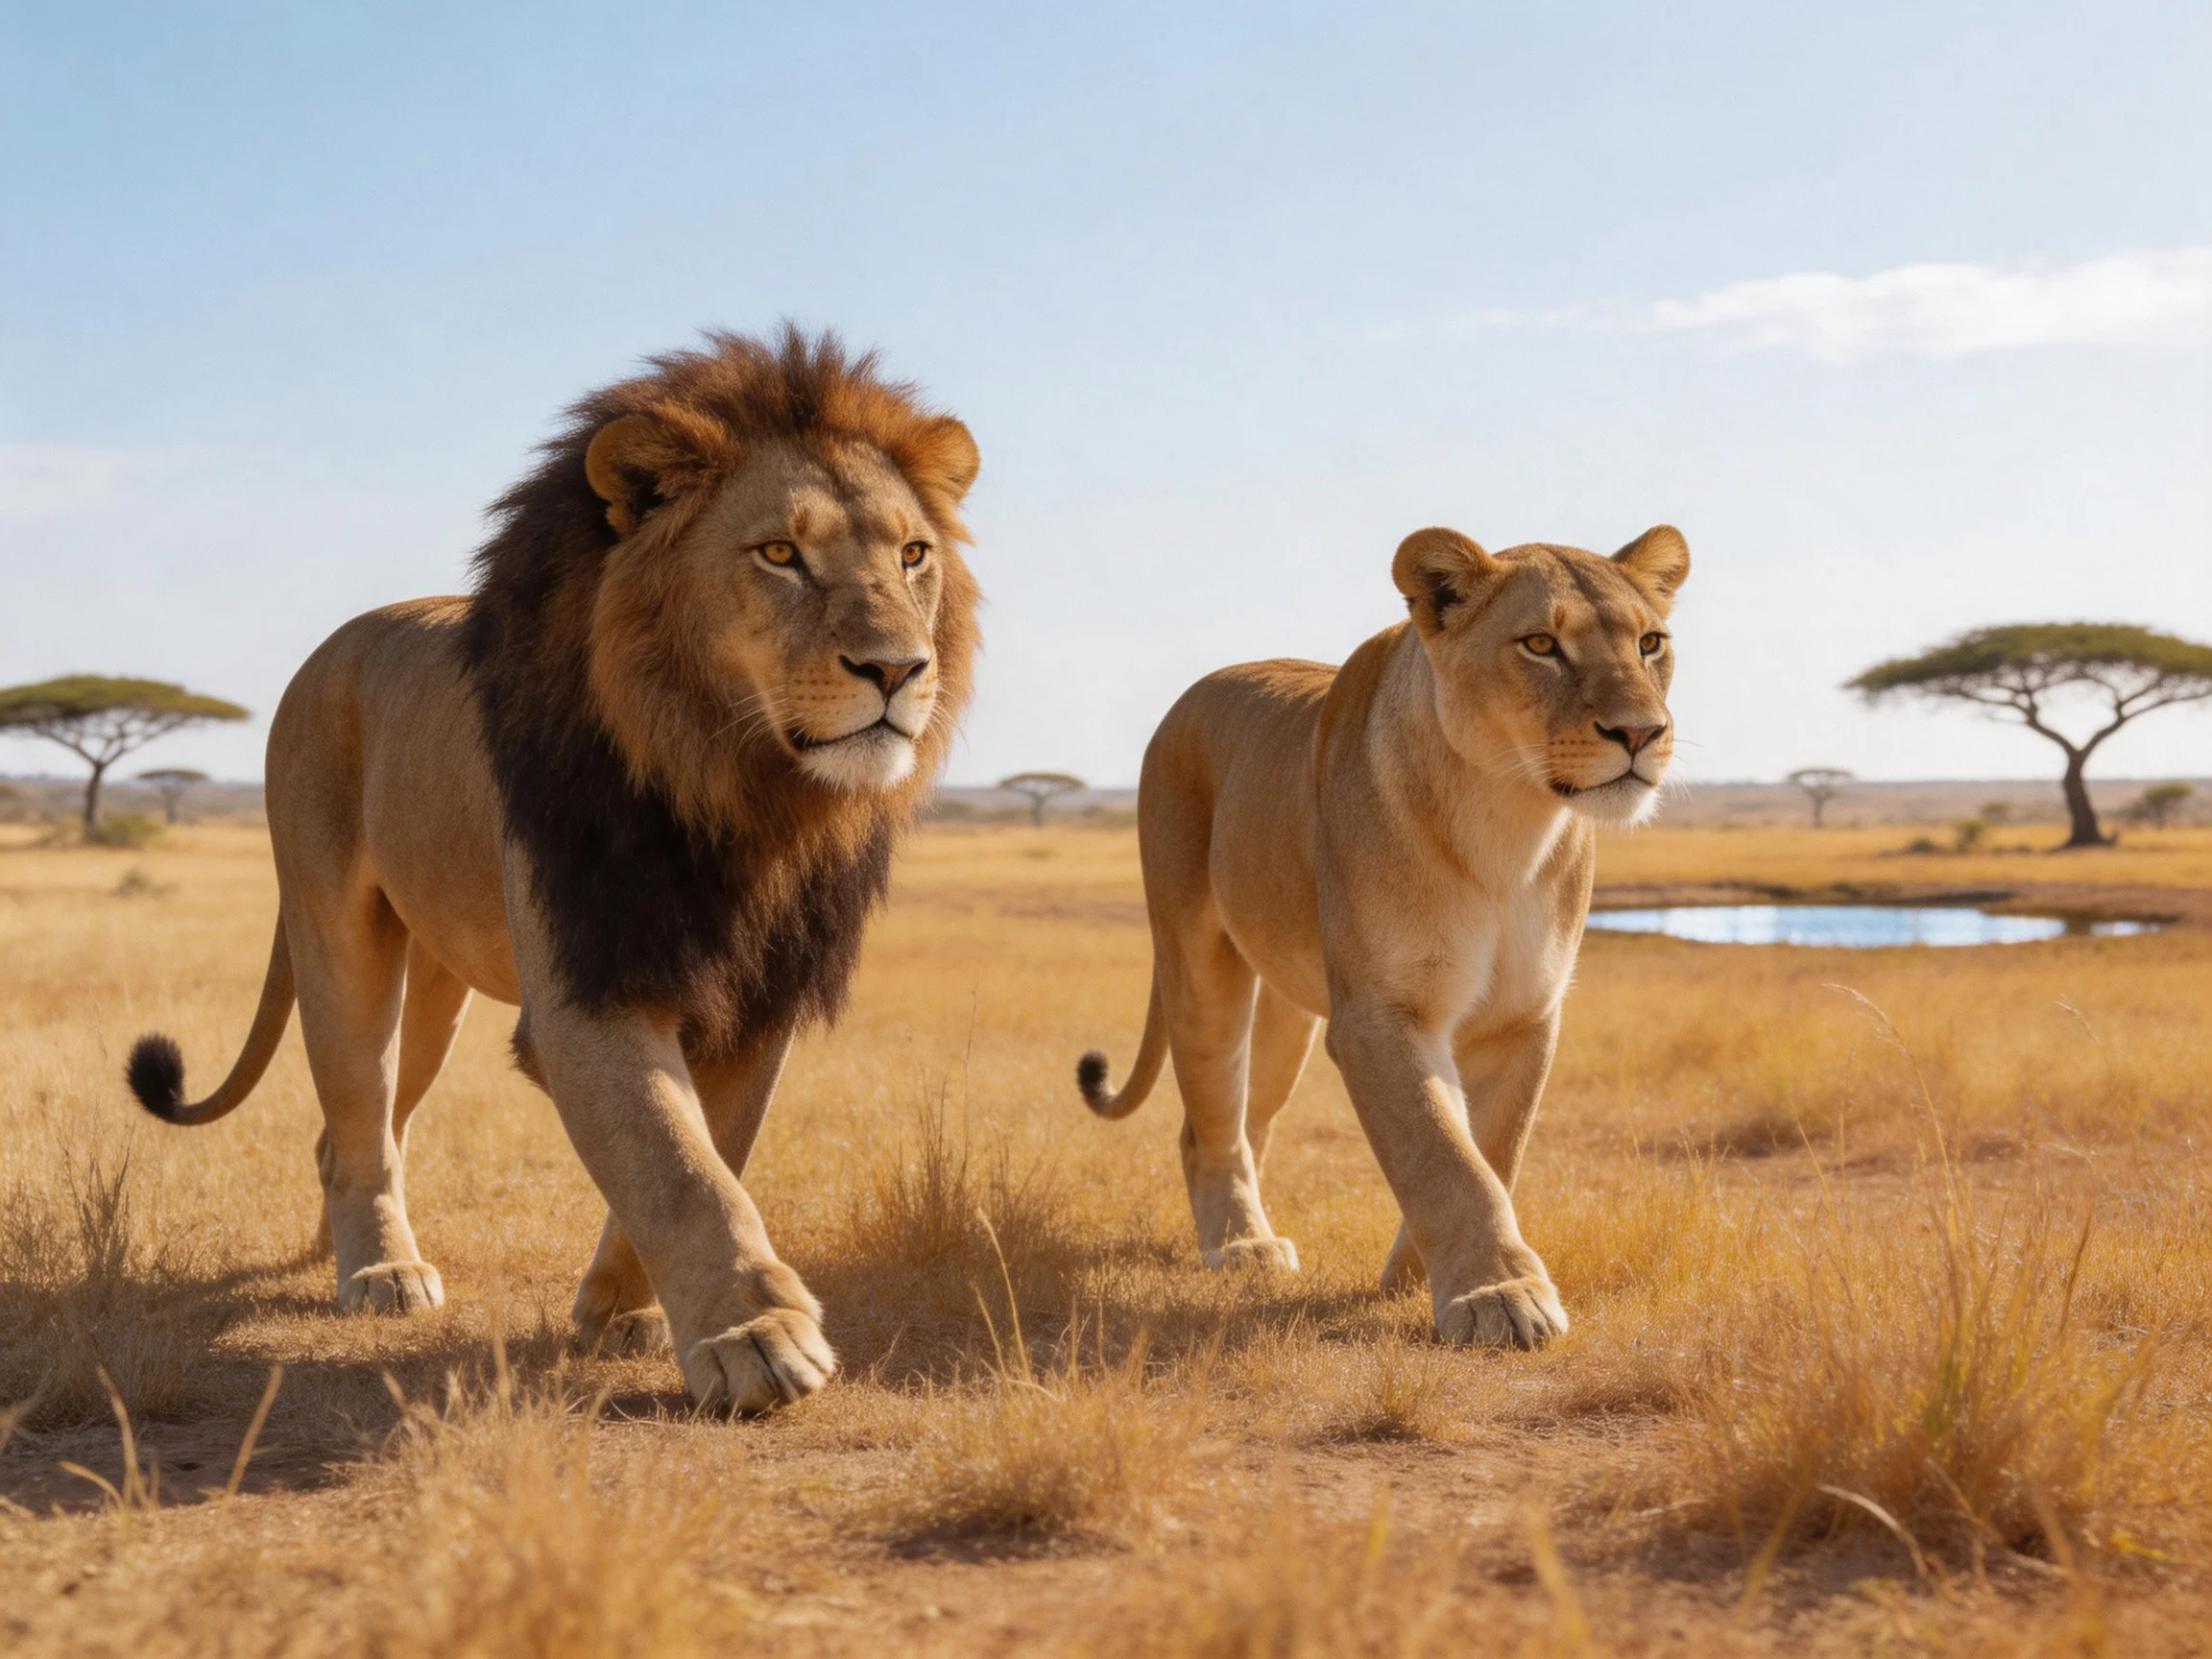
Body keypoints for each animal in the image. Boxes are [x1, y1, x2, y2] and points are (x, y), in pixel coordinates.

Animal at [125, 327, 982, 1412]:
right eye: (781, 554)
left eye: (914, 555)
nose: (899, 670)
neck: (740, 793)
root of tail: (333, 646)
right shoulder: (589, 982)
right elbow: (676, 1163)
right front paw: (753, 1335)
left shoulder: (760, 995)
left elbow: (711, 1144)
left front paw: (626, 1311)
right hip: (339, 934)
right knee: (357, 1100)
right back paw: (380, 1270)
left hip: (436, 988)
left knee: (359, 1129)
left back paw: (341, 1244)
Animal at [1075, 524, 1689, 1348]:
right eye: (1540, 645)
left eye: (1651, 642)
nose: (1641, 731)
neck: (1508, 821)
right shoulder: (1379, 1014)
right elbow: (1442, 1155)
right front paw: (1497, 1294)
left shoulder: (1521, 1017)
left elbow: (1489, 1150)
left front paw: (1418, 1278)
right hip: (1198, 961)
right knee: (1209, 1121)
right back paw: (1241, 1244)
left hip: (1289, 1019)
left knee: (1239, 1118)